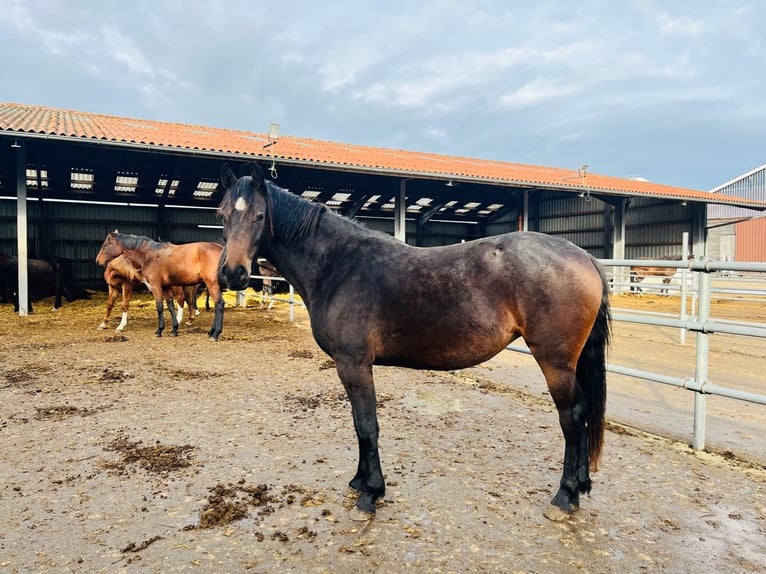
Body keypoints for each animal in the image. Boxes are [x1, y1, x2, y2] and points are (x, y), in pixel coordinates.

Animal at [95, 232, 225, 340]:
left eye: (106, 245)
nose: (98, 260)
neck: (149, 256)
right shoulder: (166, 287)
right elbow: (170, 306)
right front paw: (174, 329)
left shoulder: (155, 286)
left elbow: (159, 307)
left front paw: (159, 330)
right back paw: (210, 331)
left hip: (211, 284)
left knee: (219, 304)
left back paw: (215, 334)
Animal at [217, 163, 611, 522]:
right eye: (222, 215)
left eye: (260, 215)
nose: (233, 273)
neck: (340, 265)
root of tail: (583, 256)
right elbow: (358, 425)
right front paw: (359, 482)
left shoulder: (354, 364)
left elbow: (367, 425)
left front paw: (371, 495)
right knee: (582, 415)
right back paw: (580, 488)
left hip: (555, 362)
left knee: (572, 417)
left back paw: (564, 497)